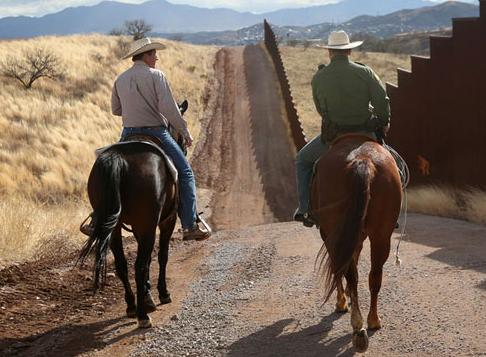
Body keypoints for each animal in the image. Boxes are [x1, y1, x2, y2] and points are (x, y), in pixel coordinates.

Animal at [78, 101, 188, 326]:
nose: (185, 146)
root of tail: (118, 159)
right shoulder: (166, 221)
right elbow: (161, 256)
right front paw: (162, 294)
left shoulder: (139, 227)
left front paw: (147, 296)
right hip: (147, 224)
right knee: (139, 266)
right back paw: (143, 316)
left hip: (115, 228)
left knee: (122, 265)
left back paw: (131, 306)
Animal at [312, 134, 402, 350]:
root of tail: (363, 160)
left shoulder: (329, 234)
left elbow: (339, 267)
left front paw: (341, 302)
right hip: (381, 234)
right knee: (374, 275)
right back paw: (373, 321)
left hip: (334, 230)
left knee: (351, 273)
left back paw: (358, 326)